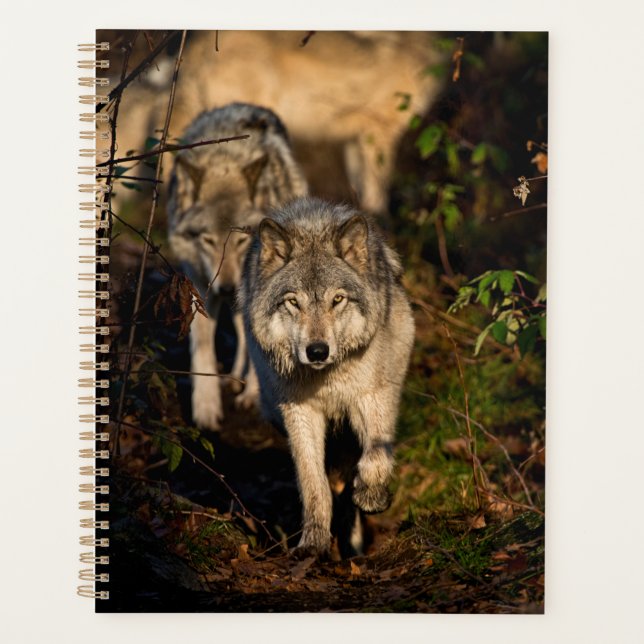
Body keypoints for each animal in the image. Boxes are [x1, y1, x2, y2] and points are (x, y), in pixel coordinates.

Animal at [167, 103, 308, 430]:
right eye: (207, 239)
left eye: (243, 239)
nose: (228, 287)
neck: (225, 157)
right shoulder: (200, 286)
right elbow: (202, 347)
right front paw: (206, 408)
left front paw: (253, 395)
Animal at [238, 197, 414, 554]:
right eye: (293, 302)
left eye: (338, 299)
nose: (317, 351)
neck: (326, 379)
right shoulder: (300, 413)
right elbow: (313, 484)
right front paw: (313, 542)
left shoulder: (373, 397)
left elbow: (375, 458)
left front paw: (371, 497)